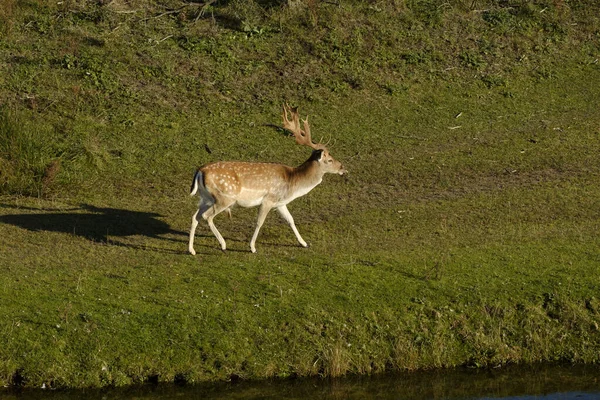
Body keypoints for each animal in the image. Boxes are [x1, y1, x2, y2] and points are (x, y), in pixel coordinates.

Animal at [188, 104, 346, 255]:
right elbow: (259, 222)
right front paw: (252, 247)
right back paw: (223, 245)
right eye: (330, 160)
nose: (342, 167)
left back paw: (192, 250)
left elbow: (291, 220)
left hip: (206, 197)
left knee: (195, 216)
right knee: (207, 216)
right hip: (225, 197)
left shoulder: (280, 203)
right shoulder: (268, 199)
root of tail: (200, 171)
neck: (293, 182)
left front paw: (304, 243)